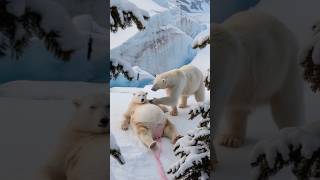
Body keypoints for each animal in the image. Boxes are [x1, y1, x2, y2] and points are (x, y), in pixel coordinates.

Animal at [212, 9, 304, 148]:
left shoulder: (222, 64)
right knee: (235, 110)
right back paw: (231, 138)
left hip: (284, 68)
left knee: (287, 106)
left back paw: (289, 134)